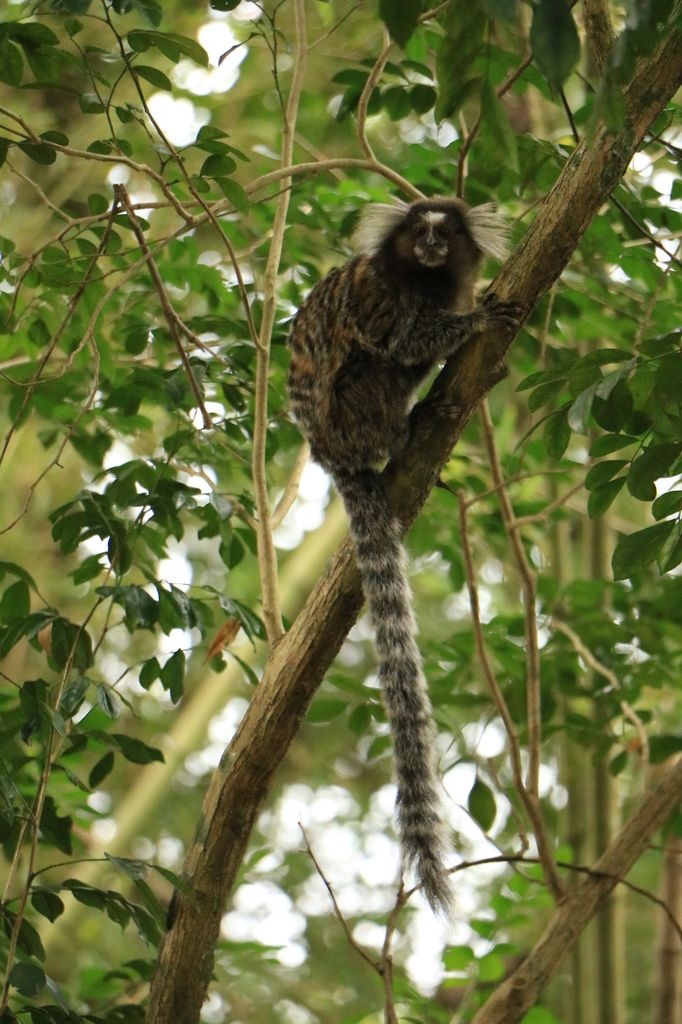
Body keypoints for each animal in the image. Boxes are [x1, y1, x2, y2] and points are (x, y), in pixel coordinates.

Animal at [286, 196, 523, 915]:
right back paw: (407, 429)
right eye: (420, 230)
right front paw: (474, 321)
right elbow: (400, 342)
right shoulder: (384, 298)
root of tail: (329, 454)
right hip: (353, 409)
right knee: (381, 368)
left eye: (445, 233)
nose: (429, 246)